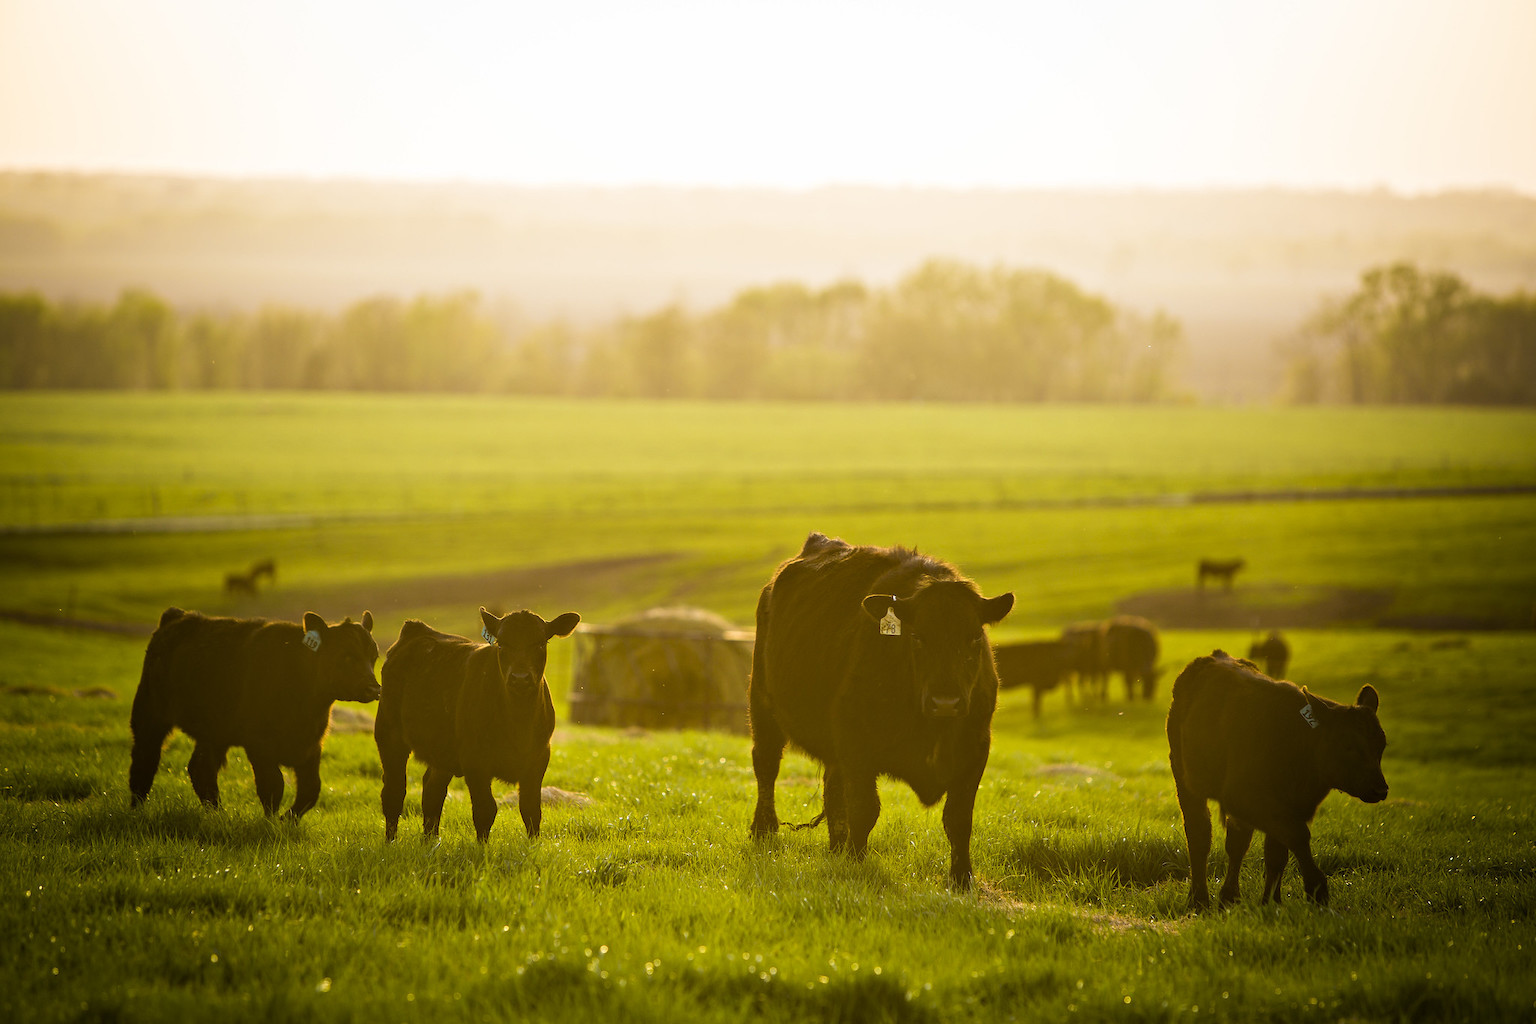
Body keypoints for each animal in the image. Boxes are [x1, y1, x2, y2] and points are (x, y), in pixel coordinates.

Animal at [132, 607, 384, 816]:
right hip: (149, 713)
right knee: (145, 759)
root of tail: (177, 616)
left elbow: (310, 790)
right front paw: (272, 823)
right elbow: (273, 785)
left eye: (374, 657)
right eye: (346, 656)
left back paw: (217, 814)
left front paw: (287, 821)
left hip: (214, 733)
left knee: (201, 769)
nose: (373, 688)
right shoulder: (259, 744)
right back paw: (138, 808)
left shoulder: (311, 746)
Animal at [377, 607, 580, 841]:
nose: (520, 678)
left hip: (442, 751)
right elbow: (485, 809)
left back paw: (430, 842)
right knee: (394, 792)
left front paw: (533, 846)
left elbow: (531, 810)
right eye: (501, 644)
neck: (519, 720)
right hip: (388, 734)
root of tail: (417, 628)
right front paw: (482, 848)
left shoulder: (538, 757)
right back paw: (391, 841)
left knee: (432, 791)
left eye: (540, 643)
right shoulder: (474, 760)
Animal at [746, 534, 1013, 884]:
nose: (946, 702)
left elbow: (958, 818)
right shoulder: (857, 744)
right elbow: (864, 808)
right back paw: (765, 830)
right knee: (766, 766)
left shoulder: (975, 747)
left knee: (832, 790)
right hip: (763, 705)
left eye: (974, 638)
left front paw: (961, 878)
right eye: (917, 637)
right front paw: (856, 863)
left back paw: (836, 847)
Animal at [1161, 654, 1394, 908]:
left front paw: (1271, 902)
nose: (1380, 789)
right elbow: (1298, 835)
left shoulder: (1289, 804)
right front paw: (1316, 888)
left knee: (1236, 844)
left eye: (1381, 745)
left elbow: (1276, 853)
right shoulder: (1246, 798)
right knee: (1199, 836)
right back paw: (1199, 898)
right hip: (1186, 781)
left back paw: (1230, 896)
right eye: (1348, 745)